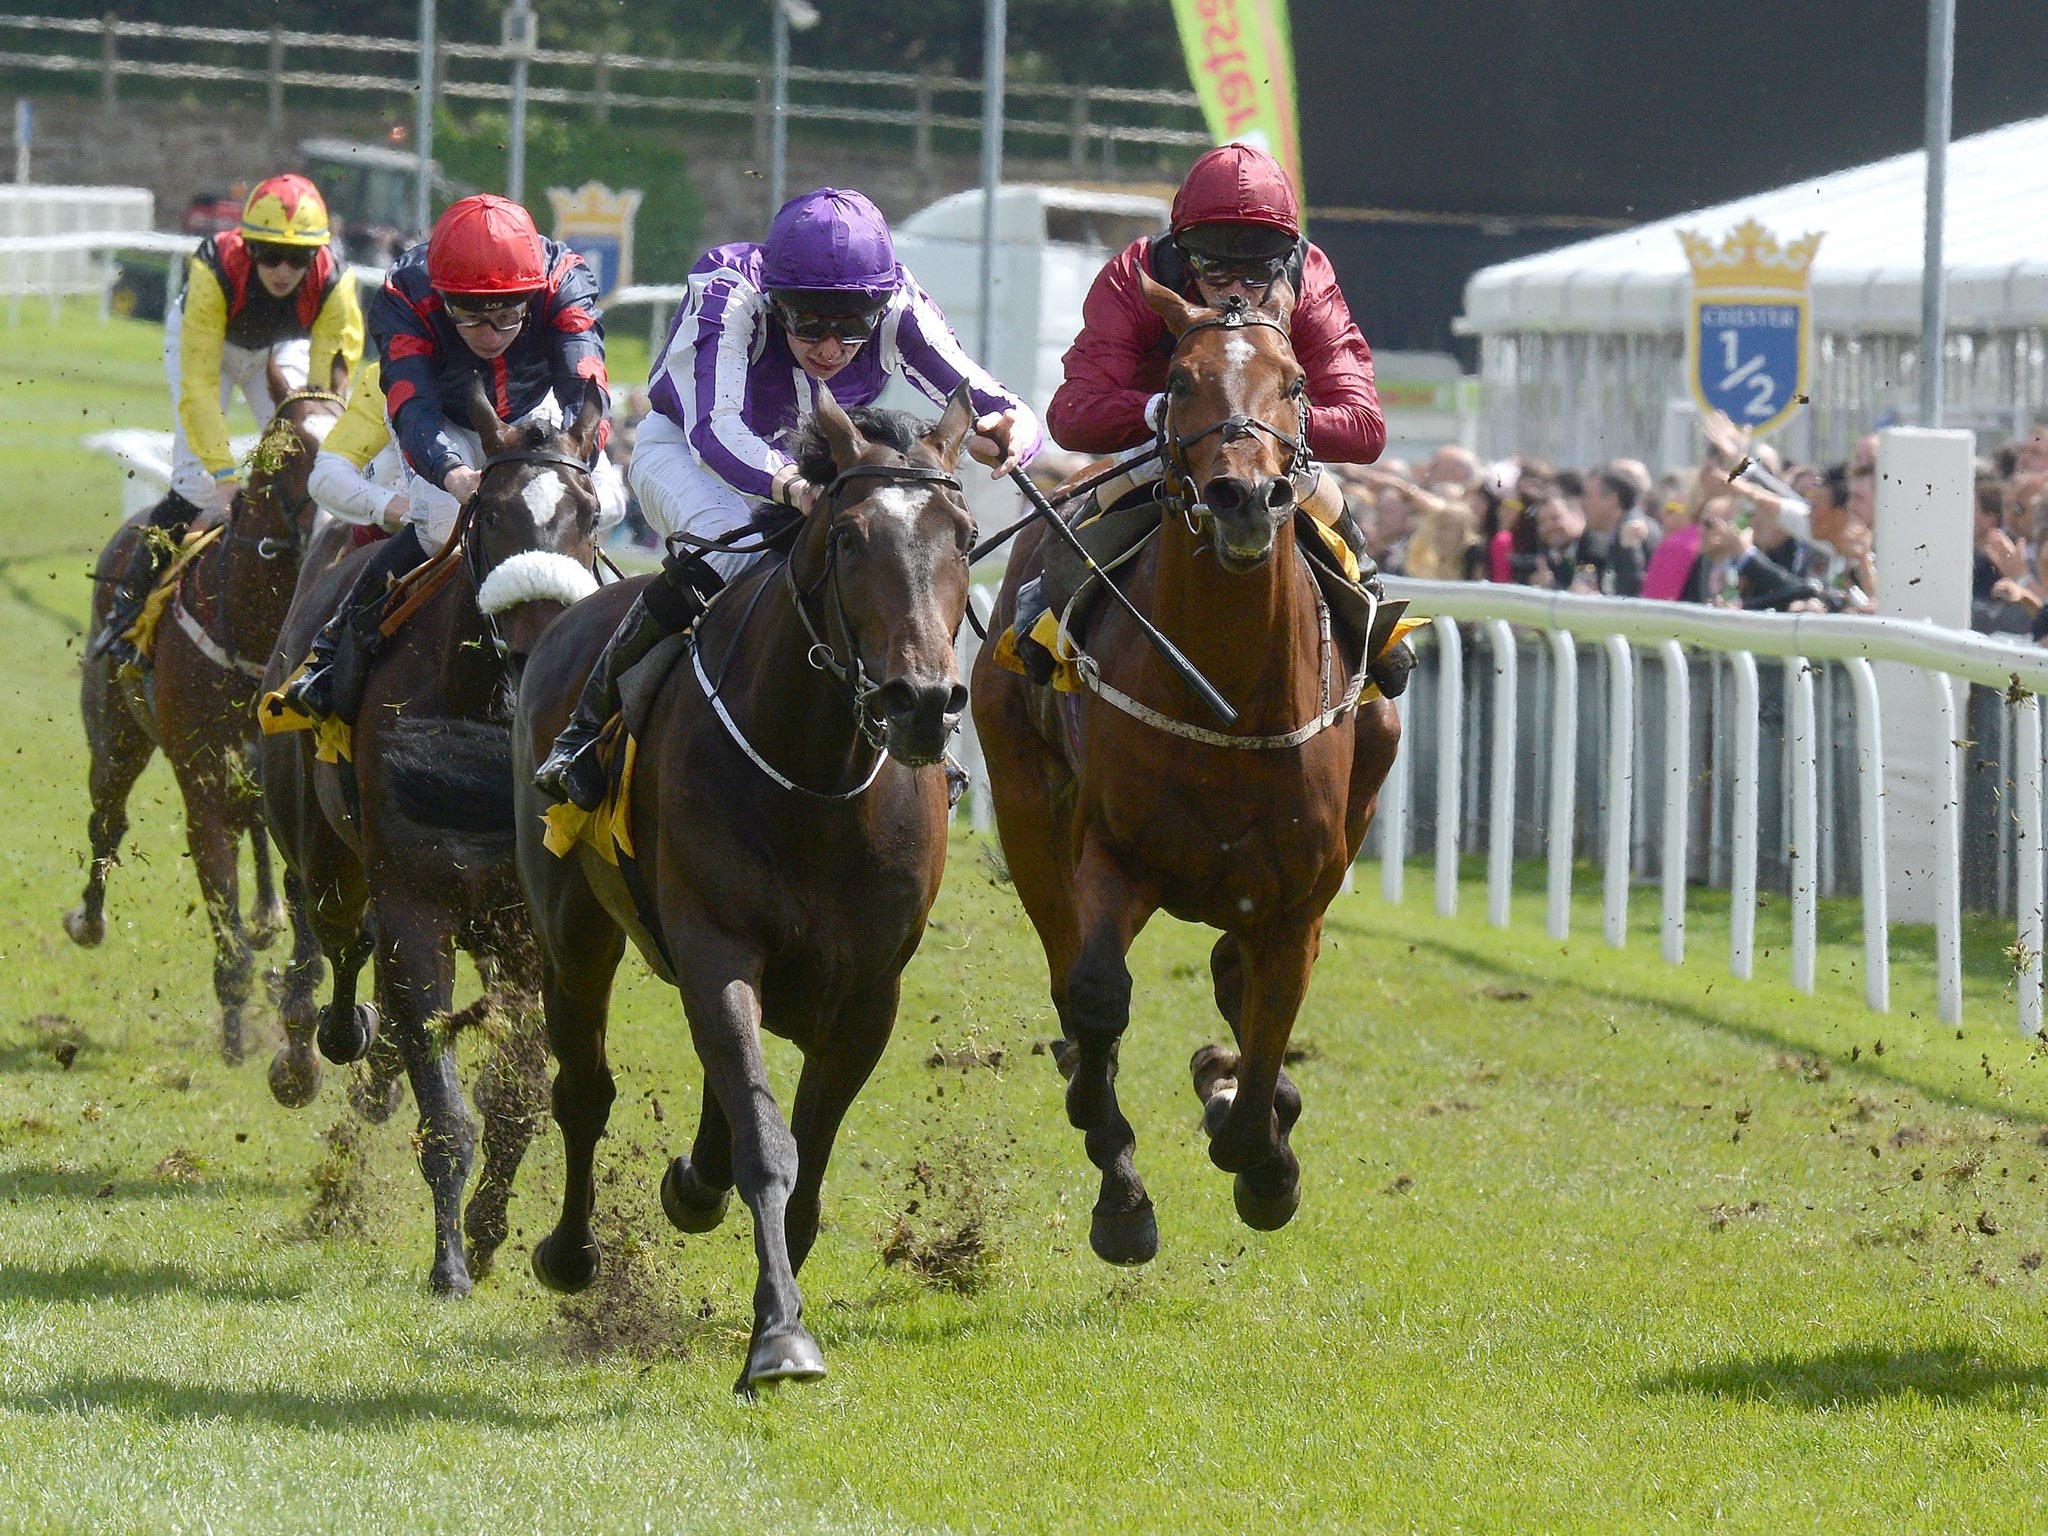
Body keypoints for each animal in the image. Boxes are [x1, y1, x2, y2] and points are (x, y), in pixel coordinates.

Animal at [74, 364, 346, 1073]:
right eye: (286, 453)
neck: (255, 638)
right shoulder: (200, 788)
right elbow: (224, 921)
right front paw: (232, 1036)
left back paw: (269, 912)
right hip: (115, 735)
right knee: (107, 819)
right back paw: (89, 919)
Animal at [262, 382, 606, 1302]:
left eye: (592, 515)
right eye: (490, 512)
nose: (541, 649)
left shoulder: (532, 930)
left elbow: (517, 1092)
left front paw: (486, 1234)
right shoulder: (417, 902)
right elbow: (444, 1104)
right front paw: (450, 1259)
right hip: (322, 850)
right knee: (341, 940)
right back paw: (345, 1035)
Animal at [395, 387, 978, 1392]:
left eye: (966, 535)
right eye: (849, 535)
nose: (924, 703)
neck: (815, 779)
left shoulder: (870, 995)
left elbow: (803, 1155)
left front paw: (772, 1296)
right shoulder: (715, 949)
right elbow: (766, 1143)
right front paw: (779, 1336)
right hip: (570, 932)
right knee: (583, 1090)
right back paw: (572, 1250)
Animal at [966, 282, 1400, 1269]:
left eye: (1296, 382)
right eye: (1179, 378)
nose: (1244, 497)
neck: (1228, 700)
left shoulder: (1295, 900)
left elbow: (1270, 1023)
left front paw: (1262, 1151)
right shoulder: (1113, 853)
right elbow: (1095, 997)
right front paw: (1120, 1184)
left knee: (1235, 980)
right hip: (1026, 803)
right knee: (1072, 977)